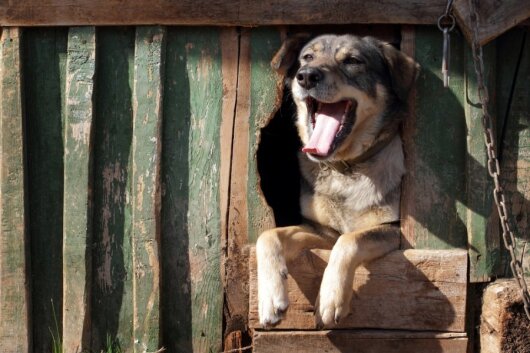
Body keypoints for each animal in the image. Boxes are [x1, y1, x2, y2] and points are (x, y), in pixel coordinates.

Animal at [255, 33, 416, 328]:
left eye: (352, 60)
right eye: (307, 57)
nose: (307, 76)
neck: (346, 169)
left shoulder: (394, 231)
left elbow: (350, 240)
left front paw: (331, 299)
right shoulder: (322, 231)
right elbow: (269, 235)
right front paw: (270, 298)